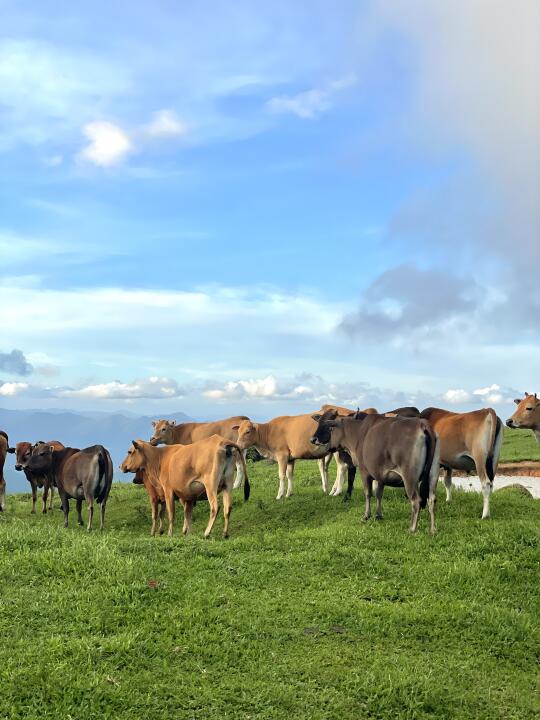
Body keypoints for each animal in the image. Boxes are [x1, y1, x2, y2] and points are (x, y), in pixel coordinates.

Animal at [119, 434, 248, 540]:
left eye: (129, 452)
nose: (121, 466)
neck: (159, 459)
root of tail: (223, 441)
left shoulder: (168, 491)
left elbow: (171, 514)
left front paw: (169, 534)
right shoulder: (188, 496)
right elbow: (188, 514)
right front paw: (189, 533)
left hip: (211, 485)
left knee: (215, 507)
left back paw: (206, 533)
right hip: (228, 485)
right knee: (228, 508)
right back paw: (225, 533)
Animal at [310, 410, 440, 536]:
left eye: (330, 429)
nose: (313, 440)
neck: (358, 434)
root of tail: (422, 424)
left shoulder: (364, 471)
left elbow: (368, 494)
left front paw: (366, 516)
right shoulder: (380, 474)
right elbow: (378, 494)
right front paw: (378, 515)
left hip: (409, 477)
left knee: (416, 500)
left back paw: (412, 529)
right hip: (433, 475)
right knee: (432, 499)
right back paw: (433, 529)